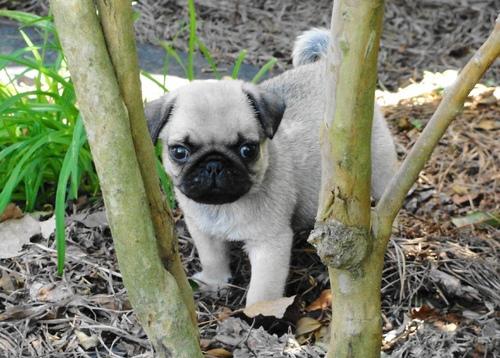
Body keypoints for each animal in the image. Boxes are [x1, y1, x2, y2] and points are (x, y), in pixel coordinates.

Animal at [146, 29, 398, 306]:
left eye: (248, 149)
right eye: (179, 152)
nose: (214, 165)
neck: (223, 207)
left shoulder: (269, 244)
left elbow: (262, 292)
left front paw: (260, 314)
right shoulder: (202, 230)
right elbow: (212, 258)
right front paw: (214, 282)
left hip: (379, 170)